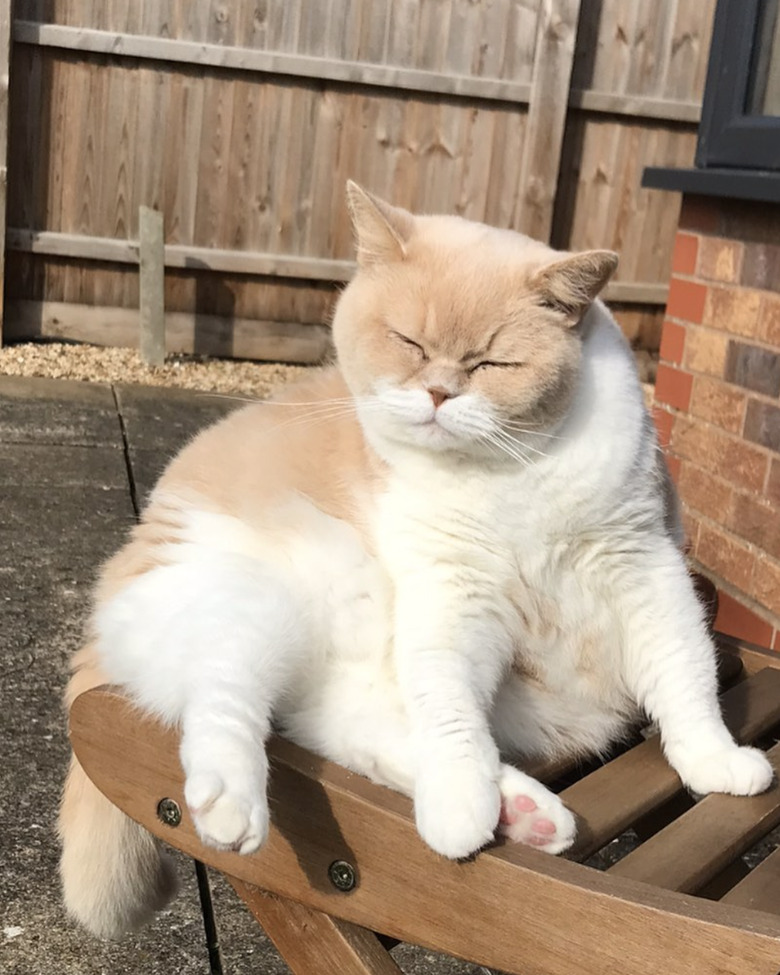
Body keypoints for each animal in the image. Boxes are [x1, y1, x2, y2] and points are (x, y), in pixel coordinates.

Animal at [58, 181, 772, 936]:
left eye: (491, 363)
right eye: (409, 342)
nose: (438, 393)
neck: (506, 473)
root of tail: (121, 569)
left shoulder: (644, 567)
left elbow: (684, 677)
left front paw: (716, 763)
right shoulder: (451, 595)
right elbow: (452, 713)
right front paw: (460, 803)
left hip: (331, 687)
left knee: (364, 737)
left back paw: (526, 813)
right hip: (260, 606)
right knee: (223, 699)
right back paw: (238, 806)